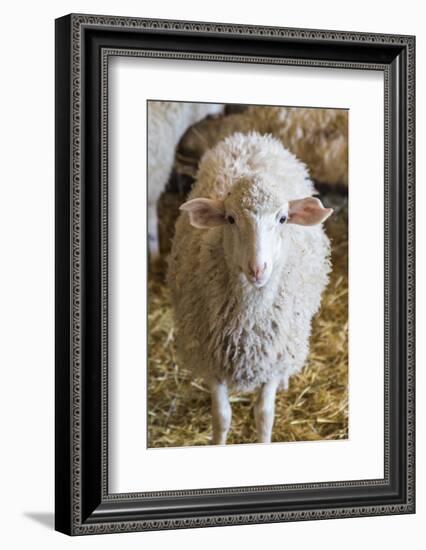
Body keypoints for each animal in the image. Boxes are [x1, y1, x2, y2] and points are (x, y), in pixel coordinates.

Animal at [167, 132, 332, 446]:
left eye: (282, 219)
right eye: (230, 219)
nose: (258, 269)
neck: (249, 325)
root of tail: (252, 137)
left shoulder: (272, 359)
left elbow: (264, 415)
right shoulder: (212, 360)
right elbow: (222, 417)